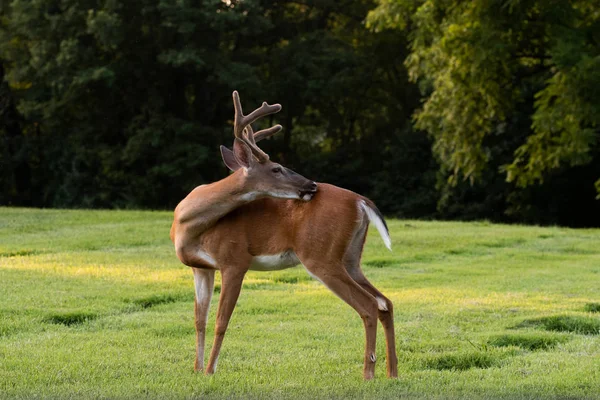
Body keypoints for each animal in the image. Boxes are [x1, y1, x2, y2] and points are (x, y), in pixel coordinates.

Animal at [169, 91, 396, 382]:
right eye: (276, 168)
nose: (311, 184)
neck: (188, 224)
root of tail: (361, 201)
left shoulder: (235, 260)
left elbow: (221, 320)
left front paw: (210, 370)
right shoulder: (201, 267)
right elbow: (200, 319)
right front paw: (196, 369)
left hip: (321, 256)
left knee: (368, 305)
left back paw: (368, 373)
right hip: (350, 258)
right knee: (385, 302)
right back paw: (392, 372)